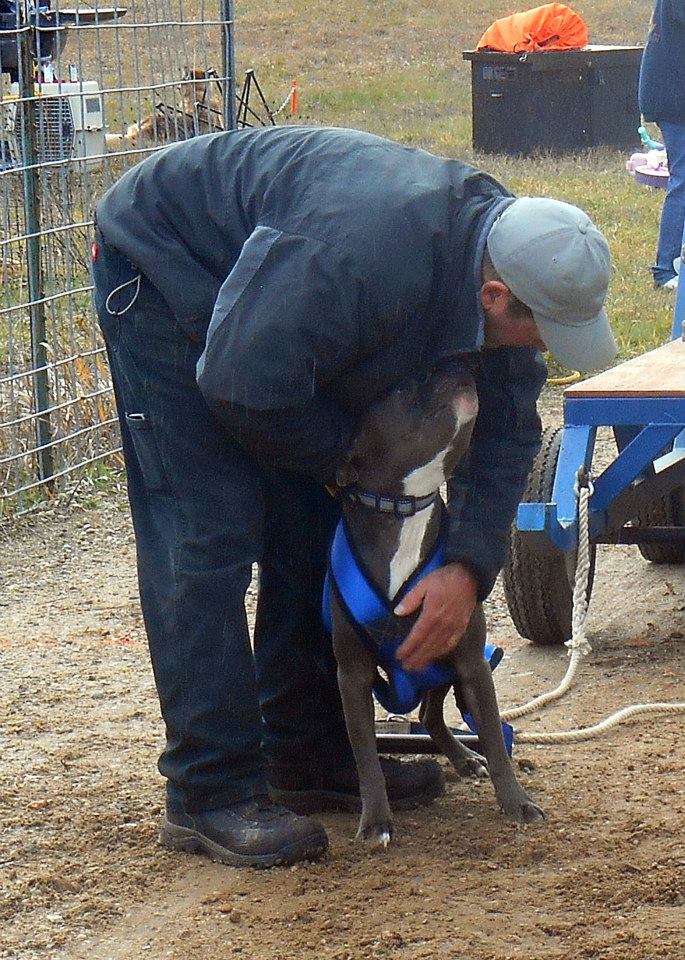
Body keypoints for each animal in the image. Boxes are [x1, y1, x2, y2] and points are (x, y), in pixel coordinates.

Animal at [328, 364, 544, 844]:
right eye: (403, 386)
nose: (461, 367)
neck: (405, 510)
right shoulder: (352, 676)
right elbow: (364, 756)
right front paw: (376, 820)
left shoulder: (471, 661)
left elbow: (496, 741)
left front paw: (517, 803)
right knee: (427, 714)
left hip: (444, 663)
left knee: (431, 713)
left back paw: (465, 758)